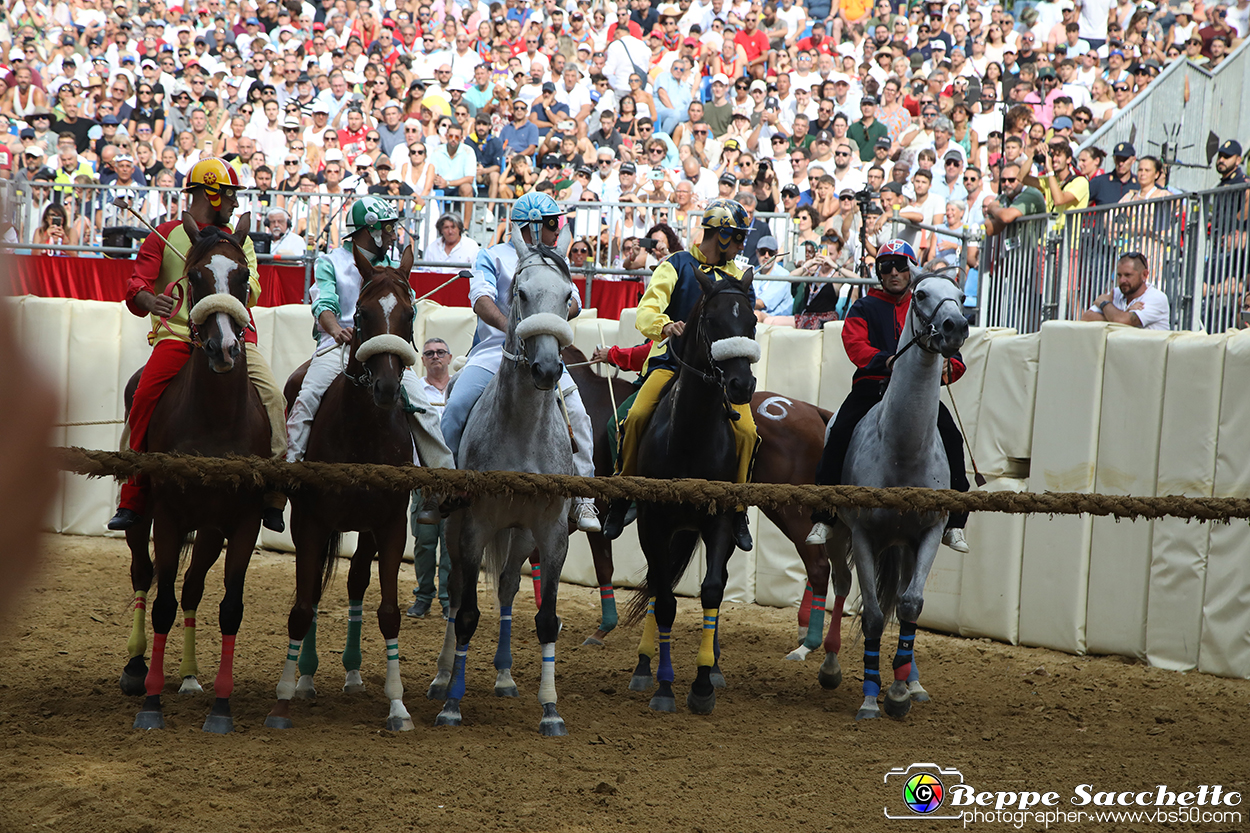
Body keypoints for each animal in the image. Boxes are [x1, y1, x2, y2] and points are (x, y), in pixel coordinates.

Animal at [127, 211, 271, 730]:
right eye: (194, 278)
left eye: (243, 276)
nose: (223, 347)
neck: (216, 421)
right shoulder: (169, 516)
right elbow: (162, 603)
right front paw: (151, 703)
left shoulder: (243, 522)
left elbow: (229, 607)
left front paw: (222, 708)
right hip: (142, 515)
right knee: (144, 575)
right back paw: (135, 667)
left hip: (209, 531)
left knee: (191, 589)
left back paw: (189, 676)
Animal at [263, 243, 420, 730]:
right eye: (364, 314)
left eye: (409, 314)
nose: (386, 386)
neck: (362, 432)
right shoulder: (311, 523)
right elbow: (302, 607)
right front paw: (283, 696)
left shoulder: (389, 526)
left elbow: (388, 612)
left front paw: (398, 705)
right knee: (313, 590)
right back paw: (306, 679)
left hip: (364, 531)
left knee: (354, 583)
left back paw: (351, 673)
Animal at [422, 218, 572, 735]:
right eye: (521, 293)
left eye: (569, 296)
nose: (546, 368)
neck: (523, 434)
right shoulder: (474, 526)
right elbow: (466, 613)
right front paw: (451, 704)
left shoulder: (551, 532)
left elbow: (546, 619)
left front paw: (551, 710)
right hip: (454, 528)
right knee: (453, 596)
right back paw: (441, 677)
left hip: (520, 535)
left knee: (507, 588)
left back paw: (505, 677)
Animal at [622, 268, 750, 710]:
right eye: (712, 321)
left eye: (752, 321)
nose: (742, 385)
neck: (691, 436)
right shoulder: (653, 523)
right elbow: (663, 601)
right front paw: (663, 686)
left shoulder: (719, 522)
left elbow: (711, 591)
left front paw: (703, 682)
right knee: (657, 586)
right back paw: (645, 666)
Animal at [825, 273, 970, 720]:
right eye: (921, 294)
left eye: (961, 296)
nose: (956, 327)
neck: (902, 451)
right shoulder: (863, 536)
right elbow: (873, 617)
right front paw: (872, 697)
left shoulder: (928, 534)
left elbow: (910, 605)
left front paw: (900, 691)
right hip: (842, 536)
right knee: (840, 584)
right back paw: (829, 666)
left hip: (904, 547)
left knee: (905, 592)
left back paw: (912, 680)